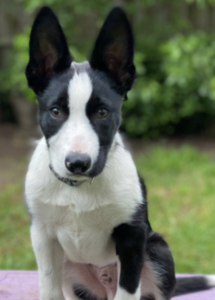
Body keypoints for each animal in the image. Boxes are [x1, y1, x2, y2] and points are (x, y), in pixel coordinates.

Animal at [25, 5, 215, 298]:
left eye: (102, 112)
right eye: (55, 111)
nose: (77, 163)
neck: (78, 190)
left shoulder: (132, 236)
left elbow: (127, 290)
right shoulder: (42, 235)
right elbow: (49, 288)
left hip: (157, 251)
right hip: (71, 270)